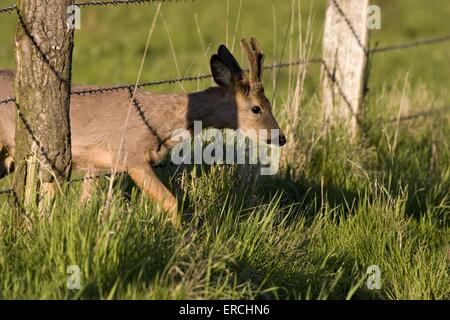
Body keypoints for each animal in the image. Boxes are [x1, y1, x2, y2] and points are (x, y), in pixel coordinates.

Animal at [0, 37, 286, 228]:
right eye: (256, 108)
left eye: (269, 103)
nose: (281, 137)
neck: (162, 123)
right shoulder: (132, 155)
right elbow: (171, 202)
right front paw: (181, 239)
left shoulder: (97, 166)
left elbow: (85, 206)